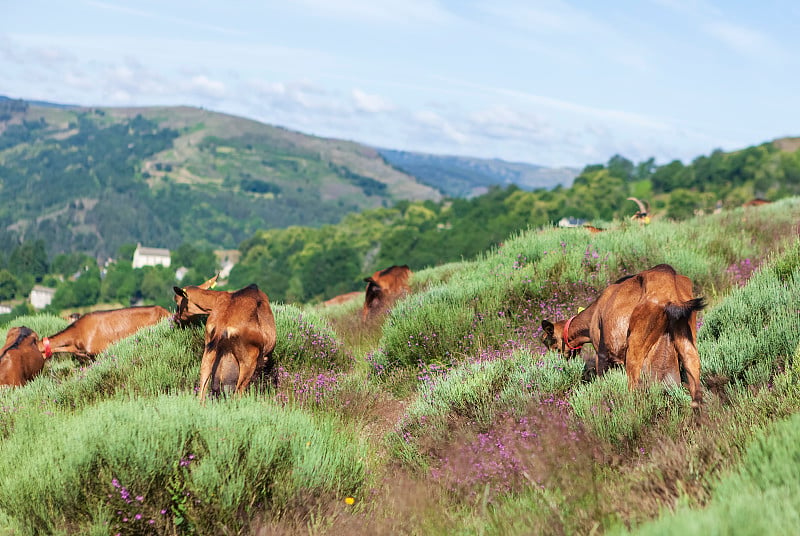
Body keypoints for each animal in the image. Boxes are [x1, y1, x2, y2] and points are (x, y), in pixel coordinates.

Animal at [540, 264, 704, 406]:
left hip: (634, 352)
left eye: (549, 342)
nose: (556, 364)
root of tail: (670, 293)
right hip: (687, 344)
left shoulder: (602, 353)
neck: (594, 312)